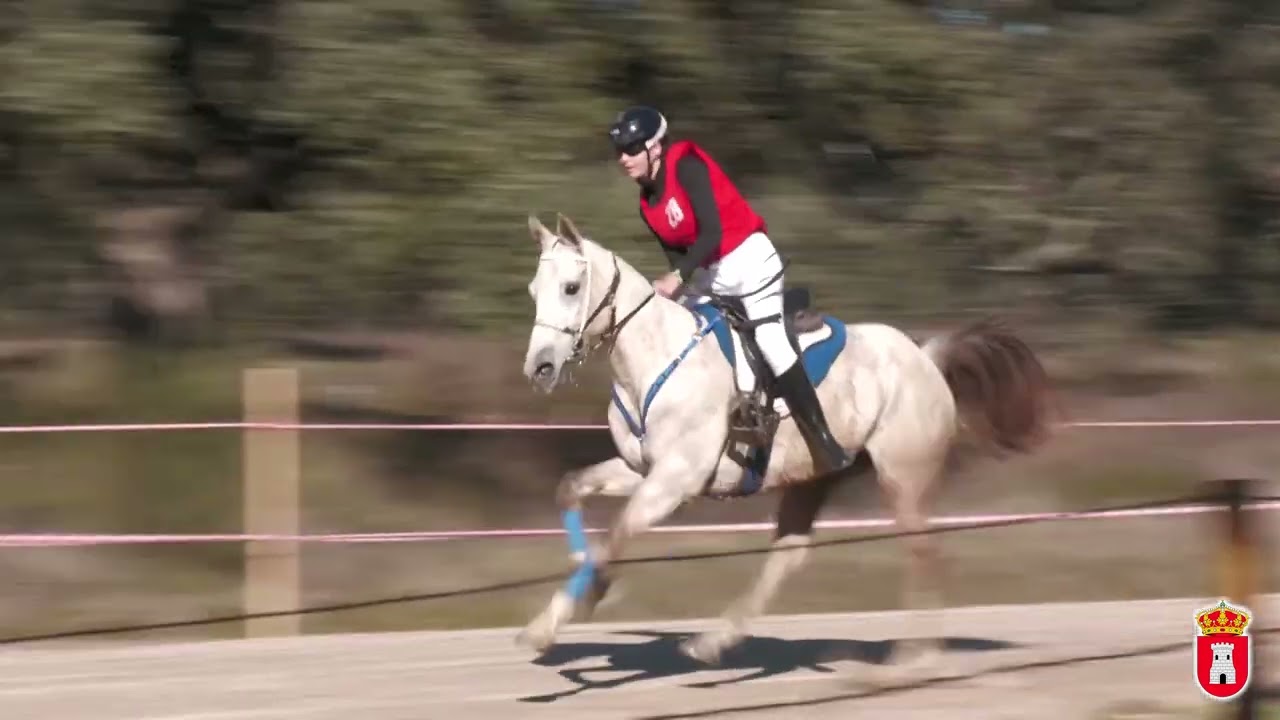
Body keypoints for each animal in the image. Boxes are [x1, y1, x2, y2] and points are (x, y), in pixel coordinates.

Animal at [516, 212, 1056, 677]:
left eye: (571, 288)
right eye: (534, 291)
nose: (539, 368)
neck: (654, 359)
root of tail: (925, 357)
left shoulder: (673, 481)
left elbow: (615, 537)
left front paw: (563, 613)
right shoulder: (640, 470)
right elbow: (572, 490)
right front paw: (572, 595)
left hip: (904, 476)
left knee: (923, 551)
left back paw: (914, 657)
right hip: (813, 478)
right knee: (789, 555)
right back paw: (714, 642)